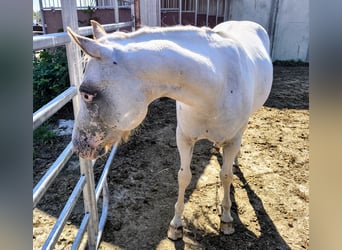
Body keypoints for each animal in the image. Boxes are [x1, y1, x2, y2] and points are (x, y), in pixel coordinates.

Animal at [68, 20, 272, 240]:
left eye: (87, 94)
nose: (77, 146)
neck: (217, 86)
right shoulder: (184, 138)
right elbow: (184, 177)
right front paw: (176, 224)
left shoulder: (232, 140)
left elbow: (226, 177)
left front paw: (226, 219)